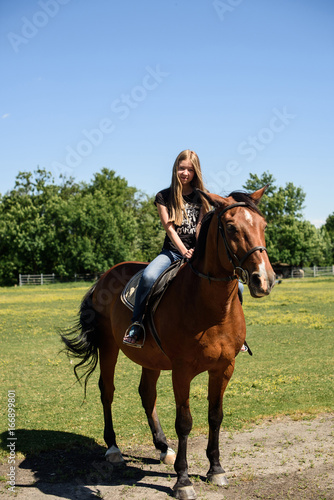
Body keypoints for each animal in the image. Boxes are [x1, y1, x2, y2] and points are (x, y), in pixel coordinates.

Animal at [61, 188, 276, 500]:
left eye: (263, 226)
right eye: (232, 227)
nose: (264, 279)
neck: (211, 308)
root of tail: (105, 276)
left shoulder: (224, 367)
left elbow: (215, 416)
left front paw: (216, 469)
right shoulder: (181, 371)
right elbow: (184, 422)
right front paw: (183, 481)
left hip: (150, 358)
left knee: (146, 394)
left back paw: (163, 447)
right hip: (109, 346)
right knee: (107, 391)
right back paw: (113, 448)